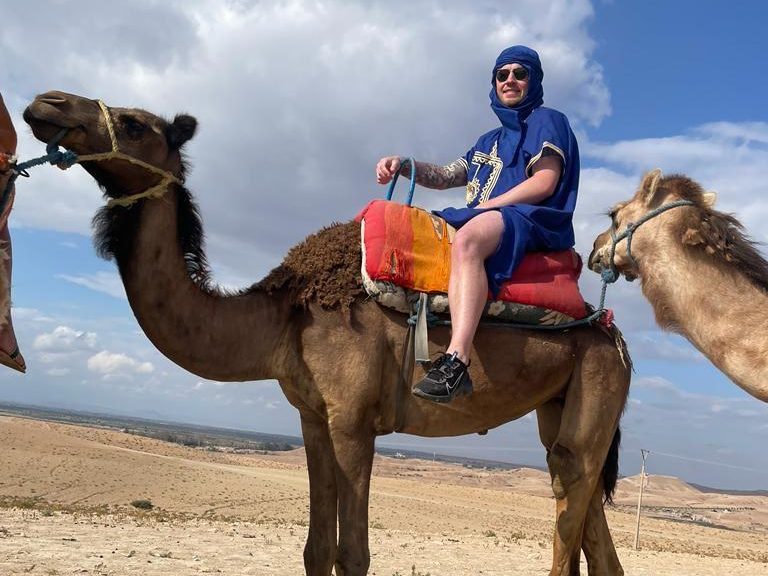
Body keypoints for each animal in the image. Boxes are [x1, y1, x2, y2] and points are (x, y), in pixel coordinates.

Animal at [24, 91, 632, 576]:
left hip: (597, 377)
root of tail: (612, 333)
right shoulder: (313, 418)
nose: (44, 104)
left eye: (132, 124)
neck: (285, 316)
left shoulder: (354, 420)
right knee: (587, 514)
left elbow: (352, 554)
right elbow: (316, 549)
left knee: (570, 508)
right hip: (565, 402)